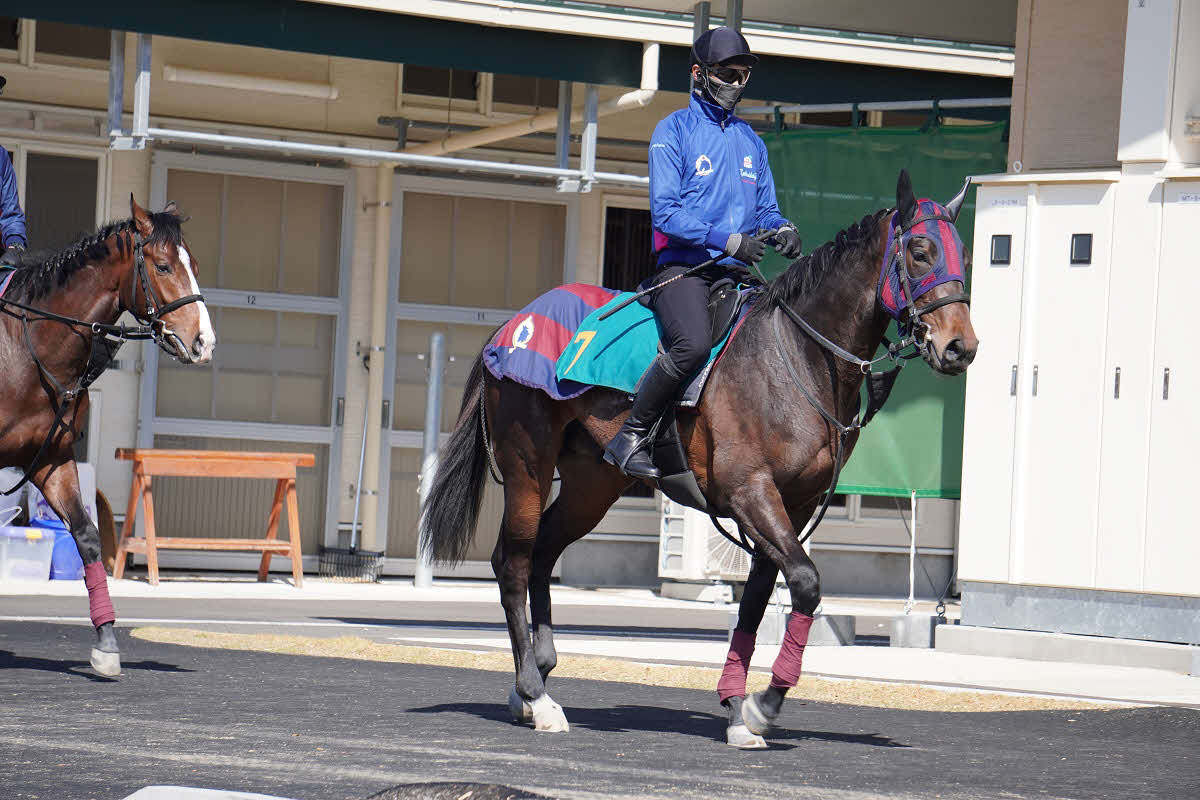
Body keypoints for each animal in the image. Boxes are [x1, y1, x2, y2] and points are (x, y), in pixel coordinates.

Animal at [0, 196, 215, 676]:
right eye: (163, 266)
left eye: (193, 265)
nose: (203, 342)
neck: (25, 349)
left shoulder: (51, 460)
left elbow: (87, 537)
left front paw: (107, 643)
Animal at [420, 169, 978, 746]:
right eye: (920, 250)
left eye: (964, 253)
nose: (961, 346)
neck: (795, 357)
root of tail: (513, 325)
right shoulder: (750, 492)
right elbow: (804, 583)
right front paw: (763, 705)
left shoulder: (791, 506)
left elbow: (757, 601)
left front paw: (736, 707)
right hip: (527, 466)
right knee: (512, 563)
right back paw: (536, 694)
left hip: (590, 487)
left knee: (545, 554)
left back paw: (536, 679)